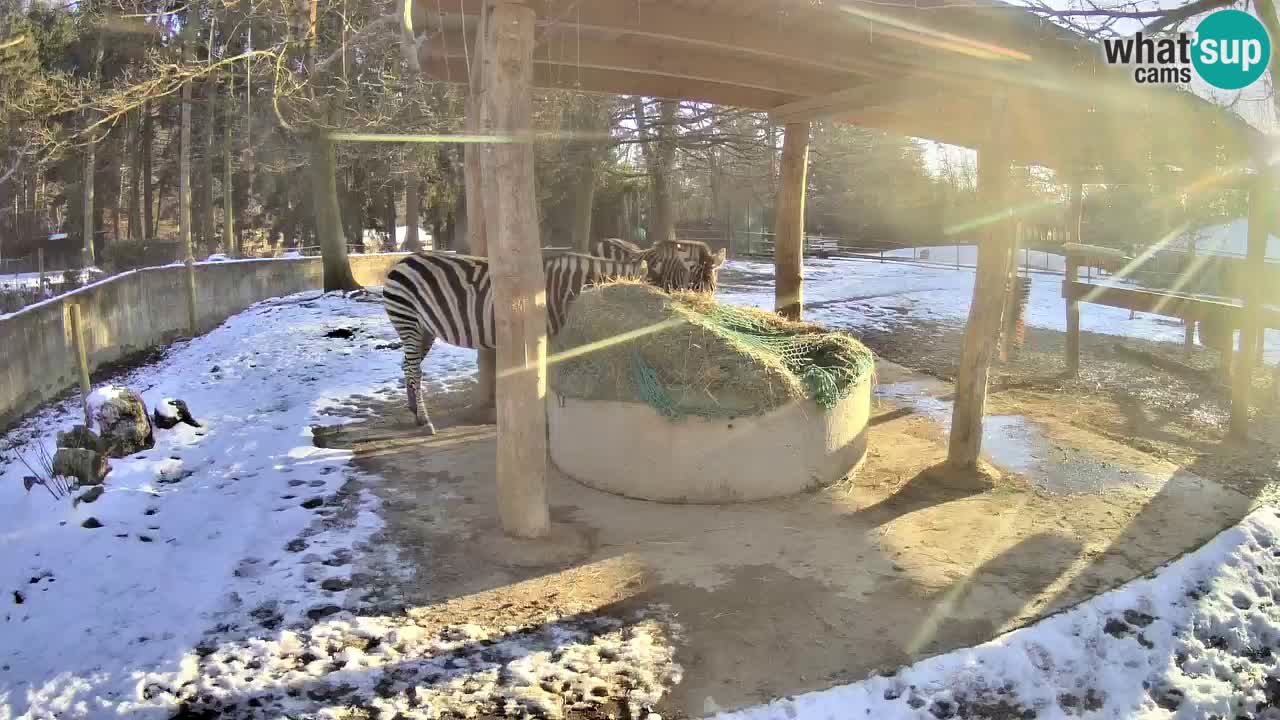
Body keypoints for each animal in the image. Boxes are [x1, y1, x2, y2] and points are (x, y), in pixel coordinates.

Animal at [376, 249, 640, 427]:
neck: (561, 290)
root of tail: (402, 261)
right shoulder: (542, 334)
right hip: (408, 319)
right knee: (414, 369)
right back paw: (424, 419)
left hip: (424, 329)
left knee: (408, 365)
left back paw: (413, 410)